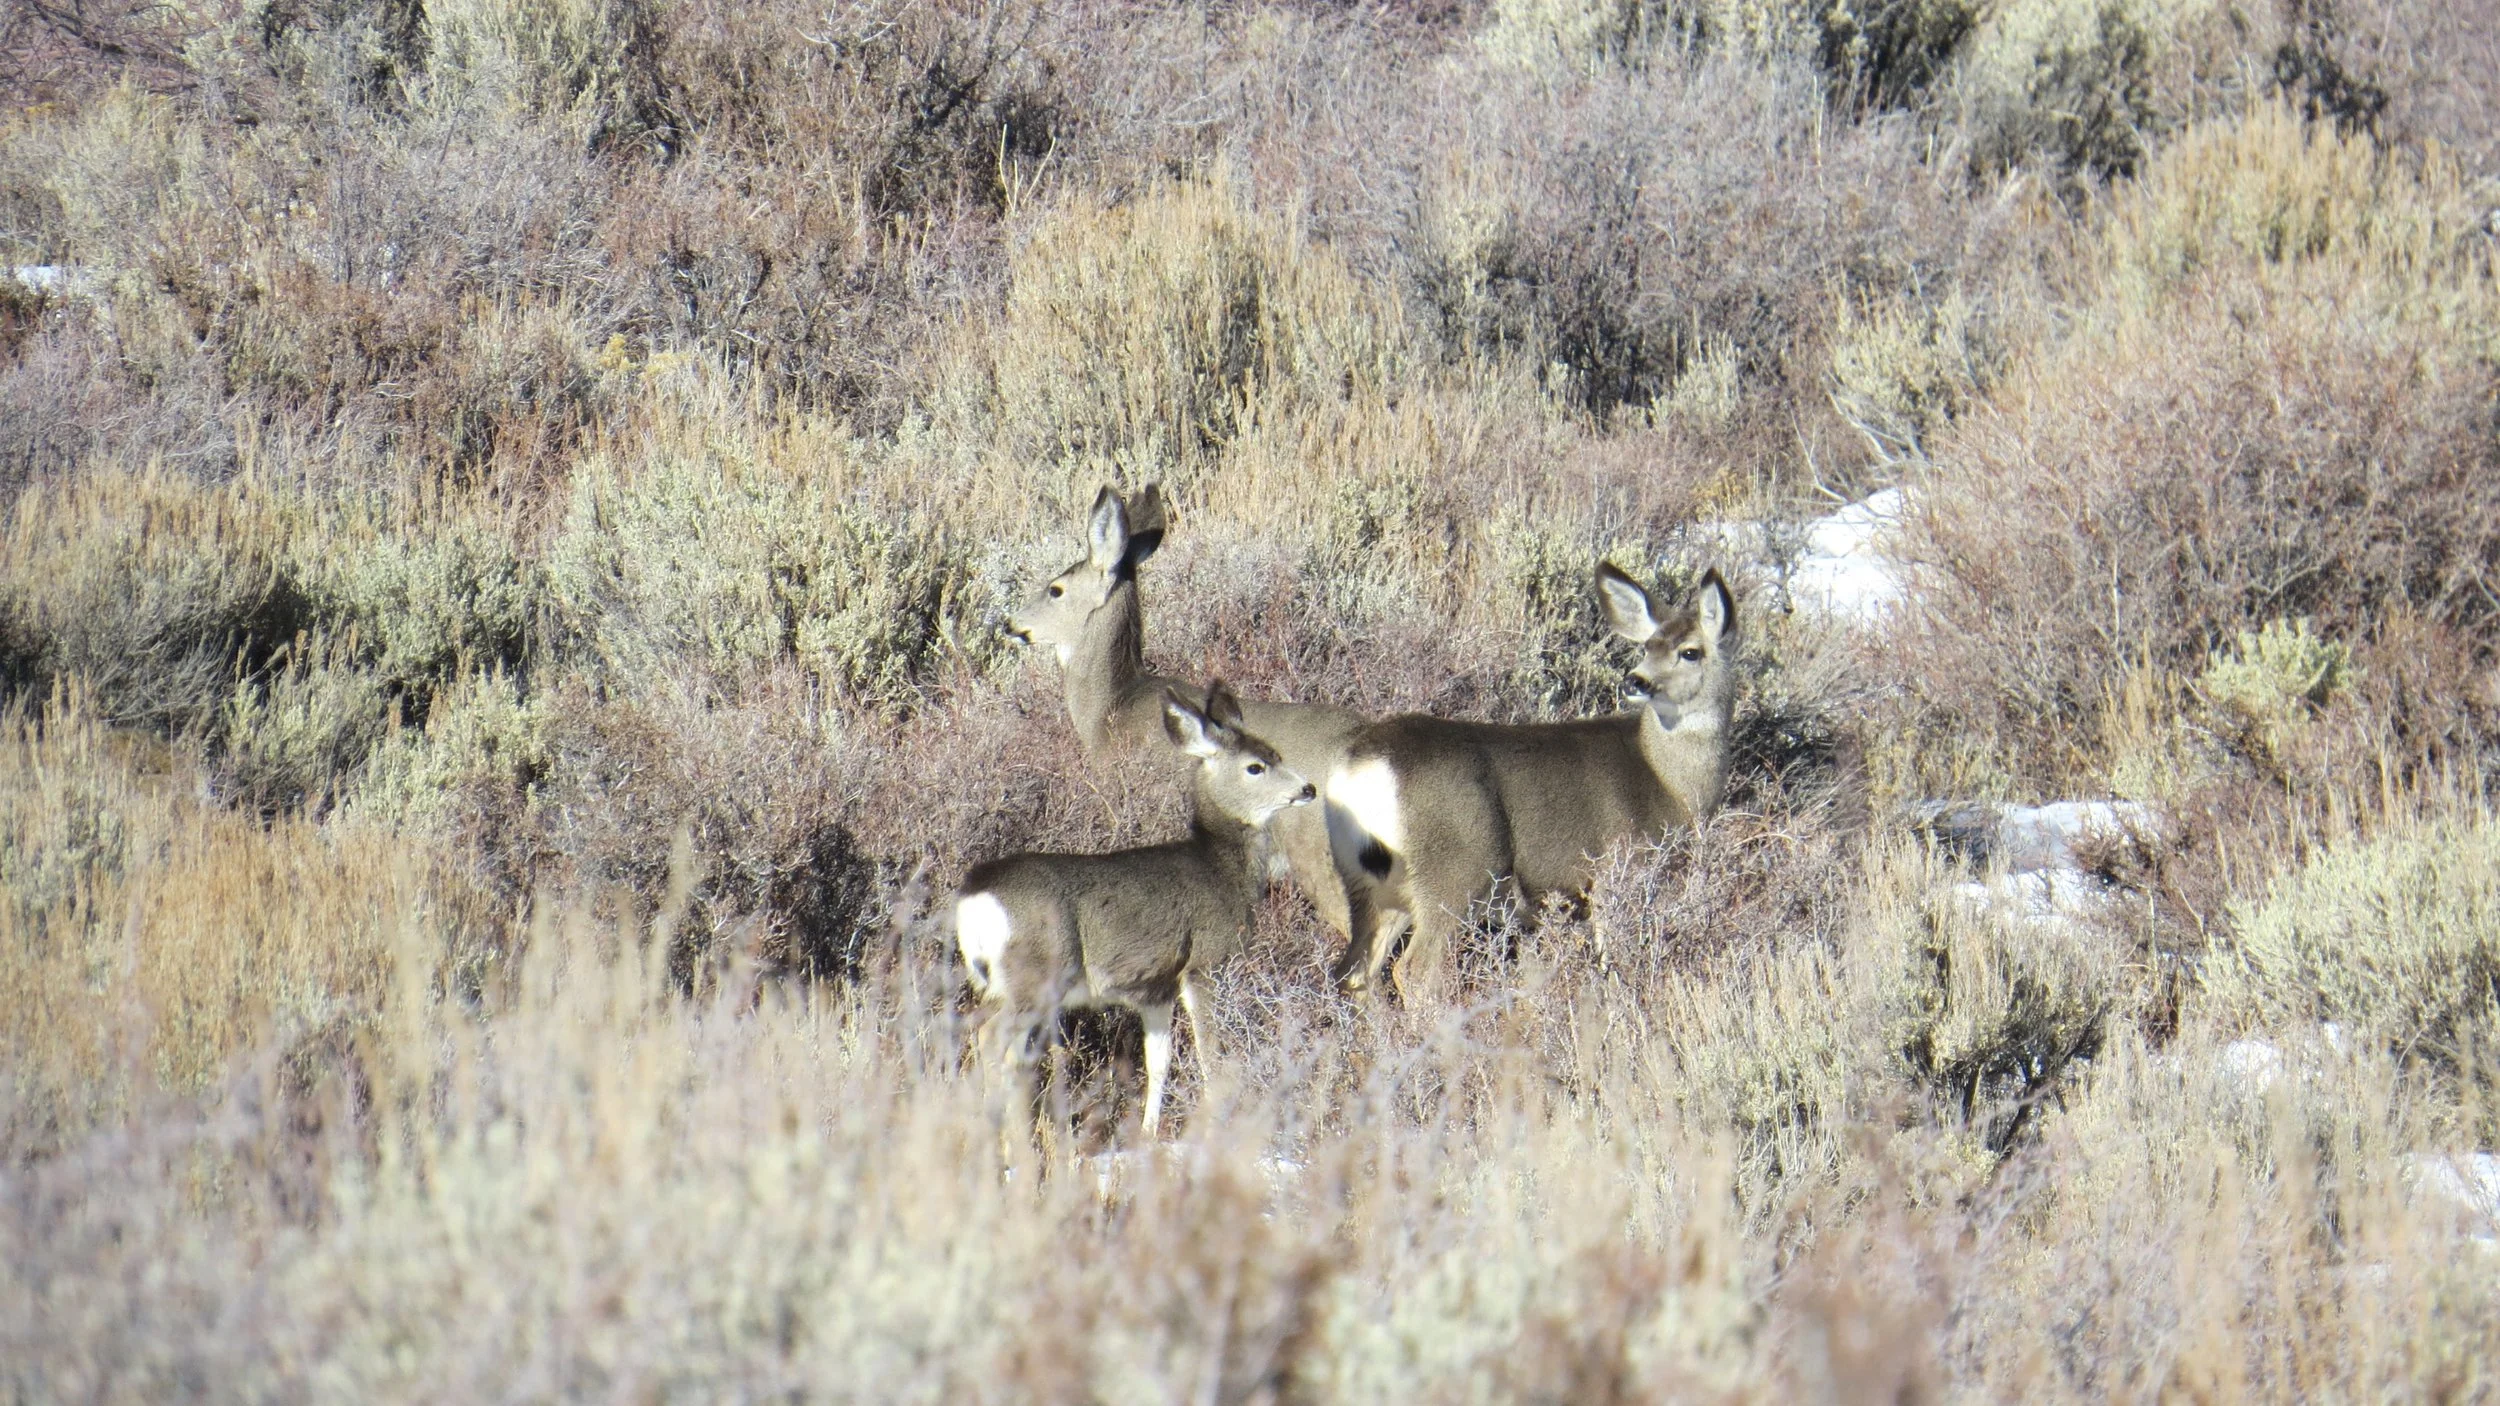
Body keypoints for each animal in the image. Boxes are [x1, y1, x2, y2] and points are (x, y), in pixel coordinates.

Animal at [955, 682, 1317, 1140]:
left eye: (1277, 753)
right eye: (1256, 766)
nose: (1309, 789)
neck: (1221, 868)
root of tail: (974, 896)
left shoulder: (1155, 988)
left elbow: (1158, 1061)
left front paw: (1148, 1133)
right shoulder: (1202, 964)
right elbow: (1209, 1053)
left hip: (998, 983)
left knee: (1007, 1054)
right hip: (1034, 976)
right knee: (989, 1040)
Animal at [1325, 563, 1738, 1000]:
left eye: (1690, 651)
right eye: (1648, 647)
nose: (1635, 681)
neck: (1668, 781)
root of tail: (1364, 764)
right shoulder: (1620, 870)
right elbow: (1614, 962)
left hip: (1369, 883)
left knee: (1353, 971)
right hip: (1457, 871)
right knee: (1416, 971)